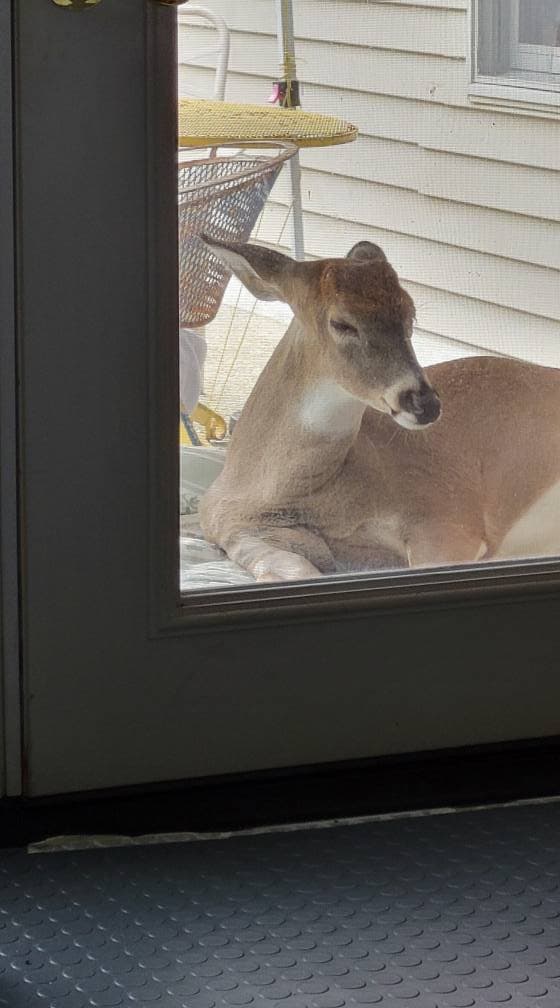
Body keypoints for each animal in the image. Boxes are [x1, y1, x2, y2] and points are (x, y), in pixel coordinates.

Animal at [198, 237, 560, 583]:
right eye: (342, 323)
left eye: (410, 316)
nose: (425, 404)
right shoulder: (234, 528)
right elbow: (288, 567)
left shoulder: (447, 516)